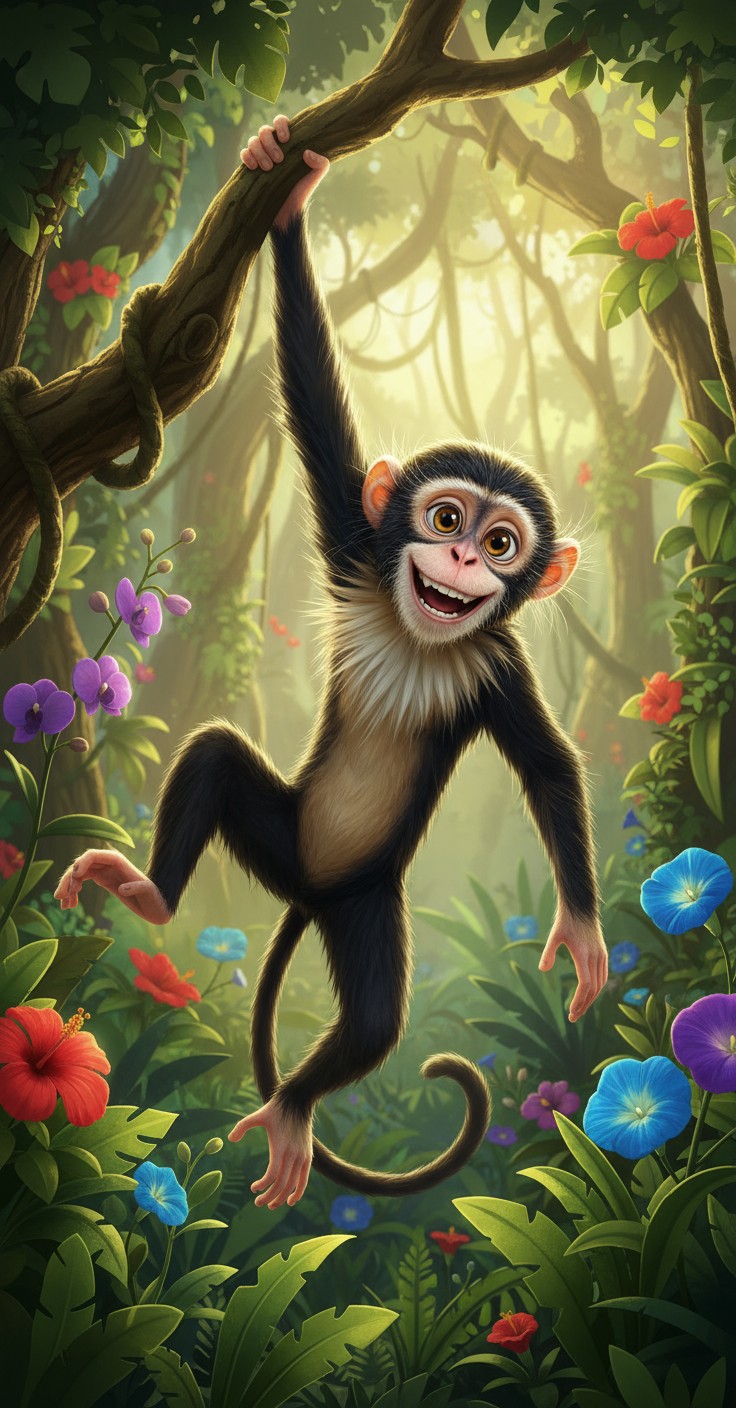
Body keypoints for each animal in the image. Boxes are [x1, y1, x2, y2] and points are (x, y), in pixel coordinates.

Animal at [55, 116, 608, 1212]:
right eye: (445, 519)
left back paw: (292, 1109)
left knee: (374, 1025)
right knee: (215, 758)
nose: (456, 563)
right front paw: (291, 193)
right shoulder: (355, 546)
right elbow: (314, 407)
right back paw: (153, 897)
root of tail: (307, 891)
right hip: (279, 834)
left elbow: (544, 763)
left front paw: (579, 931)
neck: (416, 630)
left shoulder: (497, 661)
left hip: (363, 902)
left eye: (501, 545)